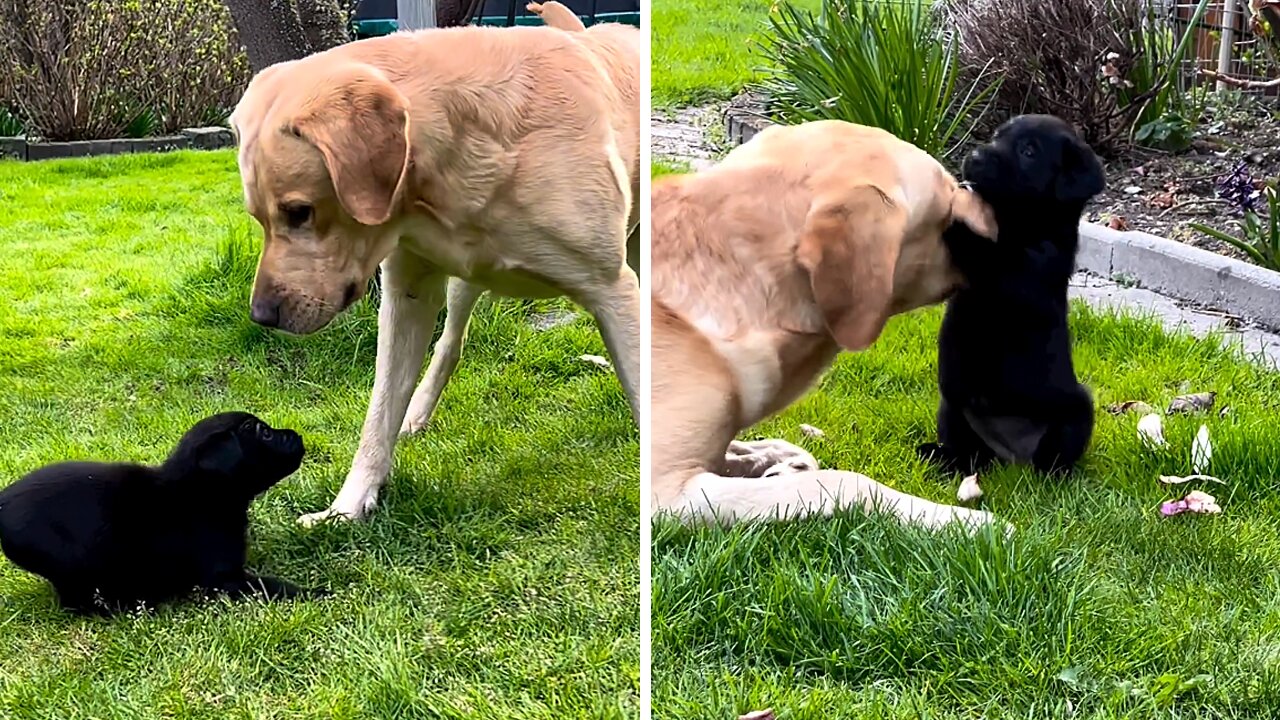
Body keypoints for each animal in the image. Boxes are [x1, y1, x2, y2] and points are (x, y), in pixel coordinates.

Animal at [0, 409, 325, 609]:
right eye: (264, 434)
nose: (297, 435)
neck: (200, 493)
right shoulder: (226, 579)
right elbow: (272, 586)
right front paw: (318, 592)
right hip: (71, 562)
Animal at [231, 18, 640, 520]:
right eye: (259, 218)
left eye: (299, 212)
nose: (262, 315)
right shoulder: (407, 291)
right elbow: (380, 410)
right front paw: (347, 506)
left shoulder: (613, 290)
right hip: (467, 279)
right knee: (451, 344)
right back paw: (418, 413)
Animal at [660, 120, 1008, 530]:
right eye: (951, 199)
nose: (988, 205)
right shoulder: (668, 491)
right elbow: (845, 481)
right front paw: (967, 521)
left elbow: (765, 449)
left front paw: (777, 459)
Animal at [916, 113, 1105, 476]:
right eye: (996, 135)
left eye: (1028, 151)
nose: (974, 157)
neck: (1018, 221)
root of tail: (1009, 456)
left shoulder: (1028, 279)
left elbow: (992, 257)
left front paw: (960, 221)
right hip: (953, 408)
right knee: (967, 453)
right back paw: (942, 456)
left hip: (1076, 411)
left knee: (1056, 455)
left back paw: (1054, 474)